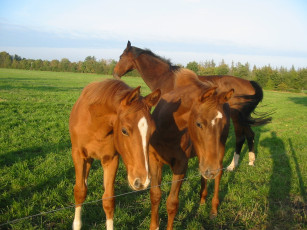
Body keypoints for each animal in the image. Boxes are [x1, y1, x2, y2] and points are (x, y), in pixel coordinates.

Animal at [70, 78, 161, 229]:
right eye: (124, 130)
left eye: (153, 132)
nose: (142, 181)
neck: (95, 125)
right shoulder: (78, 155)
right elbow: (80, 191)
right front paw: (77, 225)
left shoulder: (111, 159)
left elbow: (108, 200)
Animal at [113, 41, 272, 171]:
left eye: (121, 56)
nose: (115, 73)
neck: (166, 78)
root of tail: (250, 82)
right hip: (243, 118)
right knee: (250, 135)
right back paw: (251, 161)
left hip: (236, 117)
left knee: (240, 138)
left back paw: (232, 166)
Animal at [149, 68, 233, 230]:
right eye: (199, 123)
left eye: (224, 124)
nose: (211, 170)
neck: (167, 131)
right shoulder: (154, 161)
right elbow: (155, 195)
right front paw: (153, 226)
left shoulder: (181, 165)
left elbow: (172, 203)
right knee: (204, 173)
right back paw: (202, 200)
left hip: (218, 152)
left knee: (217, 174)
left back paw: (213, 210)